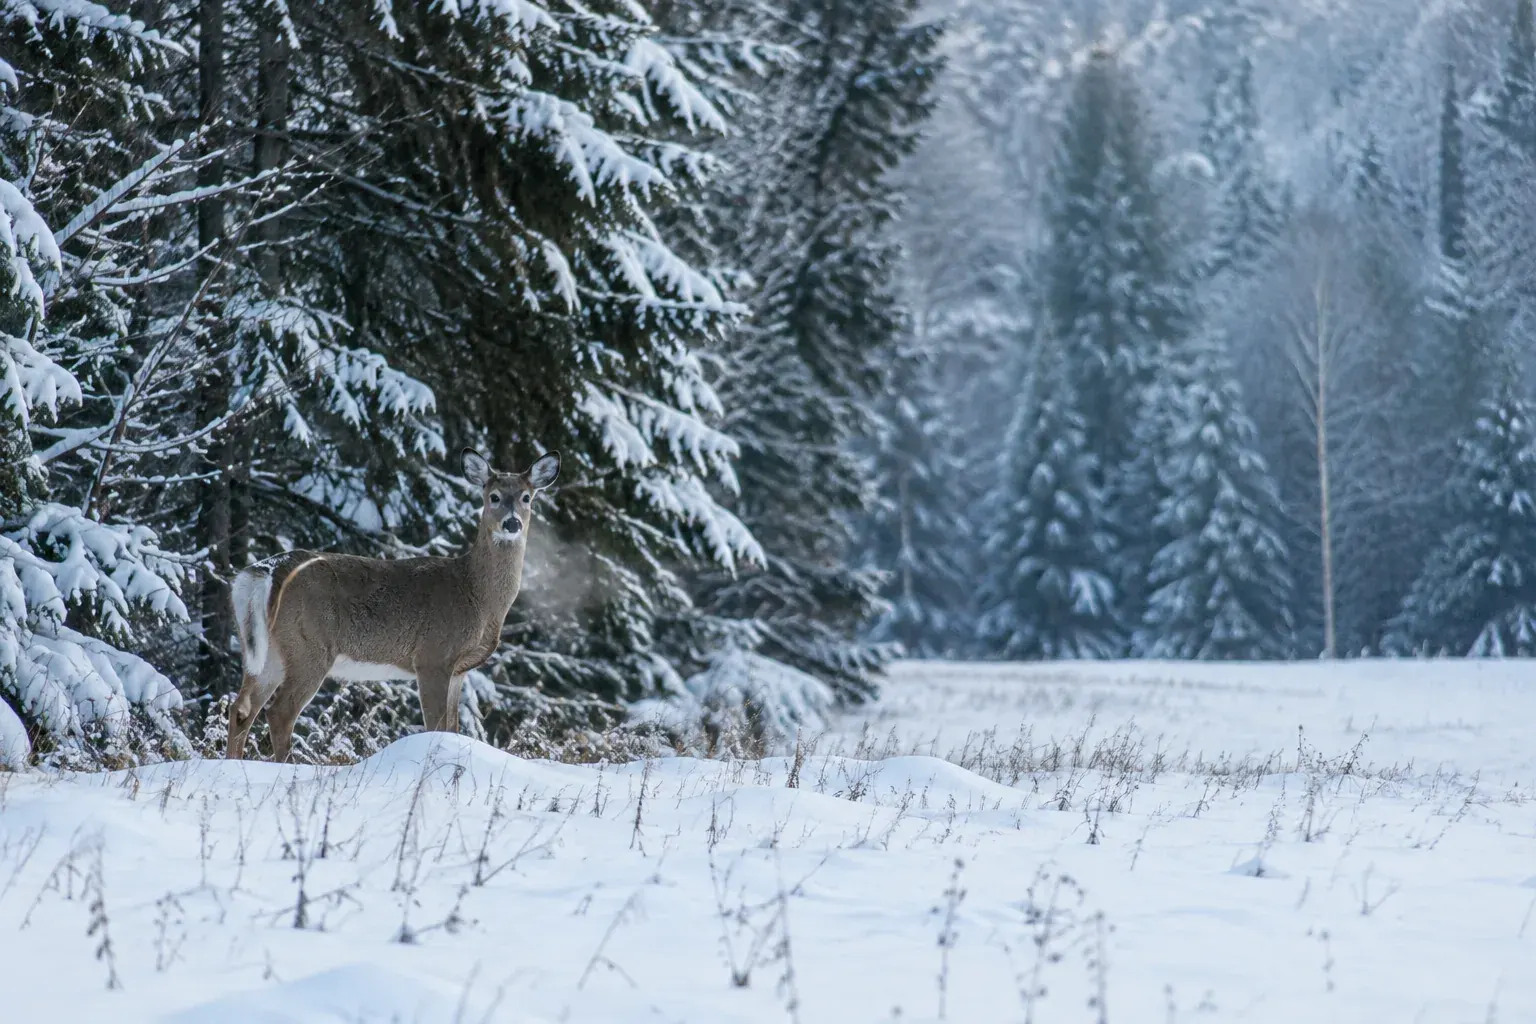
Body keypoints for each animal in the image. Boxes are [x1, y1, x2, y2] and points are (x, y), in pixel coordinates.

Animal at [223, 448, 560, 762]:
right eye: (494, 496)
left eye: (527, 497)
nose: (512, 523)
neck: (477, 595)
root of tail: (263, 573)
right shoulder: (433, 656)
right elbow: (435, 726)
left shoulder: (459, 671)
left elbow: (452, 728)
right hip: (309, 645)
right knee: (279, 712)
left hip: (266, 652)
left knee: (240, 708)